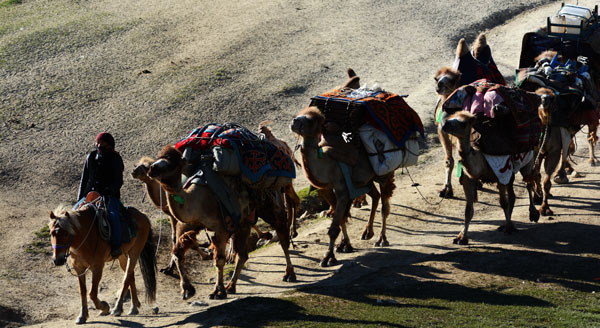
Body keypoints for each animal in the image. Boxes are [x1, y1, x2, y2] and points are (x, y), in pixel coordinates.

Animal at [49, 193, 156, 324]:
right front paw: (82, 315)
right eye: (51, 233)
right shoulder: (79, 268)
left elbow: (92, 293)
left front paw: (104, 307)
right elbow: (83, 291)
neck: (85, 236)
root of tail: (143, 216)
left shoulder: (97, 267)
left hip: (134, 253)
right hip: (123, 256)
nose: (57, 260)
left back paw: (117, 308)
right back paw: (133, 307)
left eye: (66, 233)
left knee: (126, 278)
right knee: (130, 276)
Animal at [146, 146, 296, 300]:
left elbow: (219, 260)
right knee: (243, 255)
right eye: (158, 157)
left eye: (172, 162)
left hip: (271, 204)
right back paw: (231, 286)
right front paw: (187, 290)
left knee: (282, 238)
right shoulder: (187, 225)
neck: (197, 200)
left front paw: (218, 291)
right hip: (244, 221)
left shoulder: (221, 228)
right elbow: (177, 253)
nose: (152, 169)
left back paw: (289, 274)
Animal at [290, 69, 398, 266]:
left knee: (385, 204)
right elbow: (341, 219)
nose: (295, 121)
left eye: (312, 121)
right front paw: (344, 245)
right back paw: (367, 232)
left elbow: (335, 226)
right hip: (365, 179)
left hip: (386, 172)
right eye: (300, 113)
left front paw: (328, 257)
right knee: (375, 195)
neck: (326, 163)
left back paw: (381, 238)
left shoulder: (342, 188)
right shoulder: (328, 188)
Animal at [438, 87, 556, 243]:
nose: (444, 125)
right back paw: (507, 223)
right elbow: (468, 210)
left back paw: (533, 214)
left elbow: (503, 203)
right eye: (452, 118)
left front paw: (509, 228)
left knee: (529, 182)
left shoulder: (500, 173)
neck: (479, 156)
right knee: (513, 194)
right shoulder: (469, 178)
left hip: (527, 160)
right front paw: (461, 237)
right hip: (512, 172)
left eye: (463, 123)